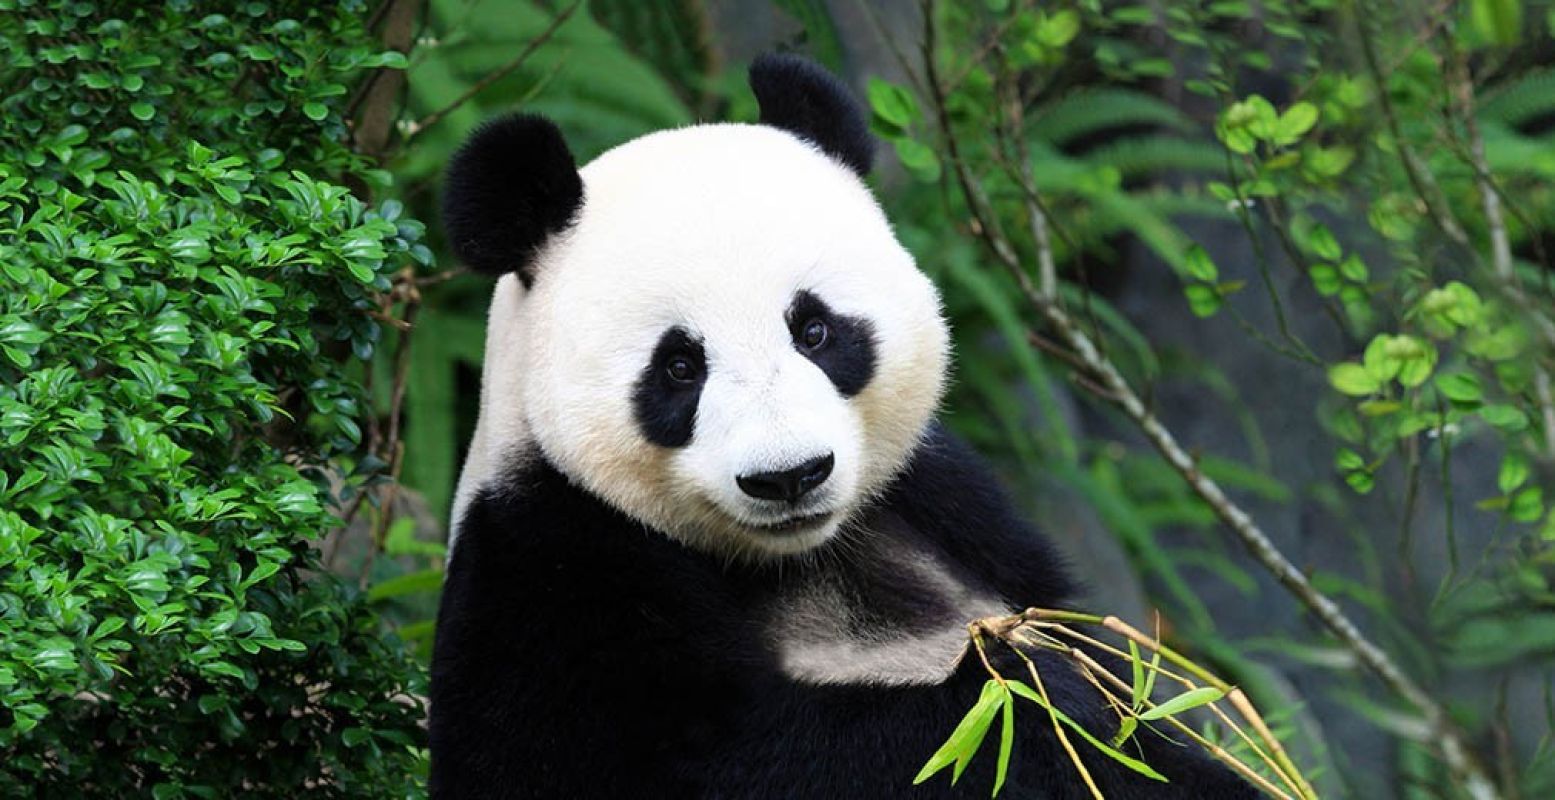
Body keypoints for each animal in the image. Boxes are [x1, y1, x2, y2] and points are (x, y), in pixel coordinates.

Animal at [432, 52, 1256, 793]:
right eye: (679, 367)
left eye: (815, 330)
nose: (788, 477)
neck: (795, 558)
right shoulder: (551, 573)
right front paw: (1036, 691)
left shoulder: (947, 501)